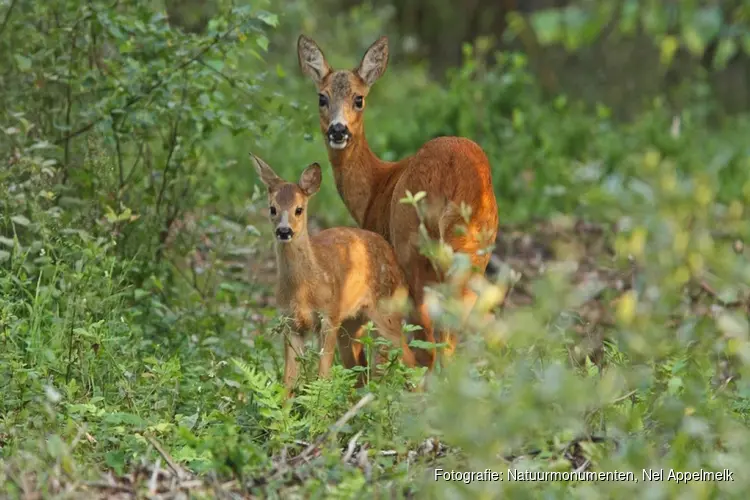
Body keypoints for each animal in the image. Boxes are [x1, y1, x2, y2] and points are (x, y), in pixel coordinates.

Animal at [251, 152, 418, 394]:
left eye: (299, 209)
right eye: (272, 208)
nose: (284, 231)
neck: (303, 288)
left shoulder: (329, 316)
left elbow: (323, 376)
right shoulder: (291, 323)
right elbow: (288, 382)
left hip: (387, 311)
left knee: (409, 359)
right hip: (351, 324)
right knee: (360, 371)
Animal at [298, 34, 500, 368]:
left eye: (359, 99)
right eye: (322, 98)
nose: (338, 130)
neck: (376, 187)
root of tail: (454, 181)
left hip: (412, 250)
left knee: (428, 345)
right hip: (475, 254)